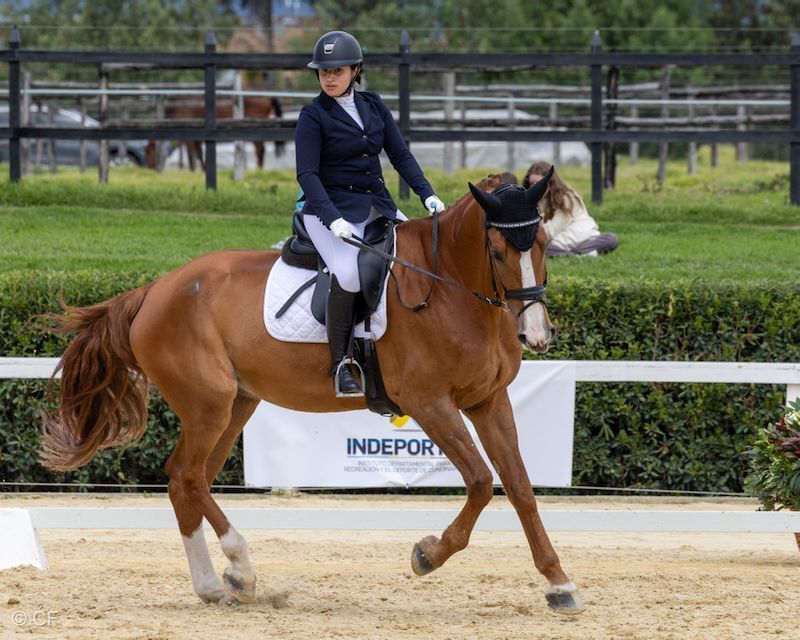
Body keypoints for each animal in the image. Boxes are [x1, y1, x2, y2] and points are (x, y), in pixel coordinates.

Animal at [39, 170, 585, 615]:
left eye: (542, 242)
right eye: (497, 251)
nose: (536, 335)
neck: (451, 286)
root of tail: (152, 290)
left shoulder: (487, 401)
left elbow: (519, 487)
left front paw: (559, 584)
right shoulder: (430, 403)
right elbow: (480, 481)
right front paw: (427, 554)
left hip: (236, 405)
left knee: (187, 483)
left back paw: (216, 586)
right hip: (208, 404)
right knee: (187, 477)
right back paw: (240, 569)